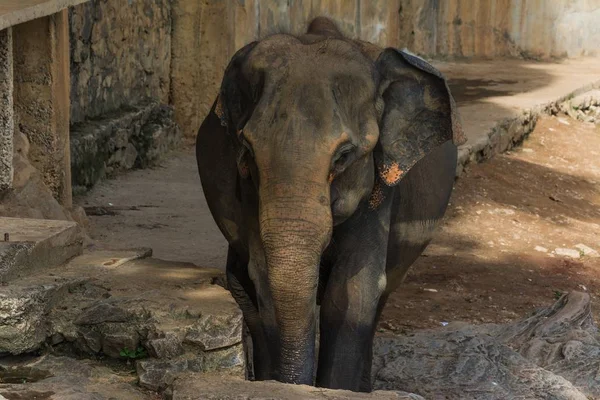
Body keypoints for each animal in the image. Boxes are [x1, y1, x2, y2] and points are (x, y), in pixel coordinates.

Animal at [196, 17, 464, 392]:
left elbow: (351, 293)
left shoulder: (379, 192)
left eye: (343, 156)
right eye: (247, 151)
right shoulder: (249, 192)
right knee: (242, 287)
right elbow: (263, 279)